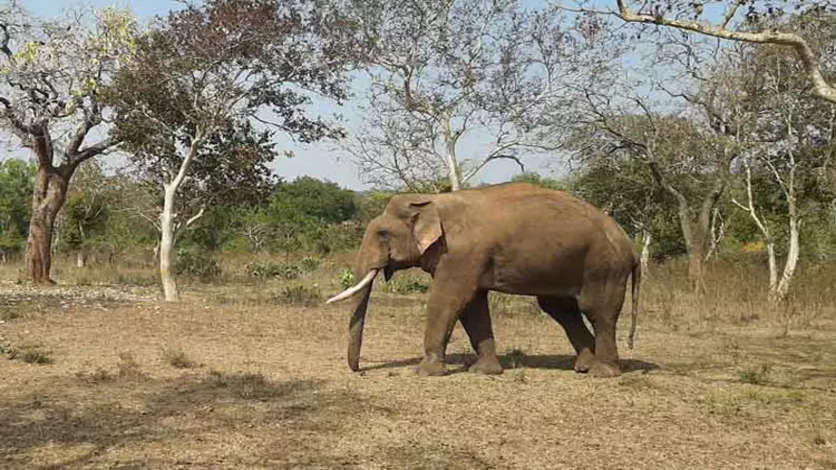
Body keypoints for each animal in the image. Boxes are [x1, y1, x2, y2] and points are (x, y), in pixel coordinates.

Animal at [327, 182, 640, 378]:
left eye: (382, 235)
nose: (359, 370)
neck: (432, 200)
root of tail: (630, 245)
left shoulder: (460, 254)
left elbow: (448, 300)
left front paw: (424, 373)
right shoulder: (467, 260)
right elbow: (473, 306)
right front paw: (485, 371)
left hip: (603, 267)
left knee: (597, 311)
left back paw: (602, 373)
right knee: (561, 309)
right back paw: (584, 367)